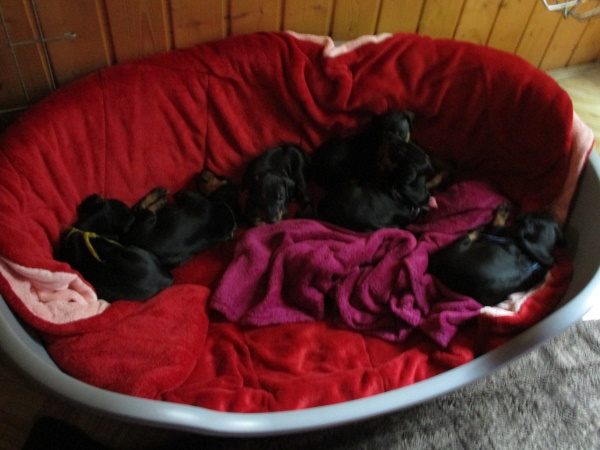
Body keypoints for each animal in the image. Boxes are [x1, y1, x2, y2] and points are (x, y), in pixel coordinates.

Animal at [428, 205, 565, 306]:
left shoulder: (496, 232)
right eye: (541, 214)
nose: (550, 211)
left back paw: (478, 230)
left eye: (532, 215)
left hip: (458, 245)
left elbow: (497, 224)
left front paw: (501, 213)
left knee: (471, 235)